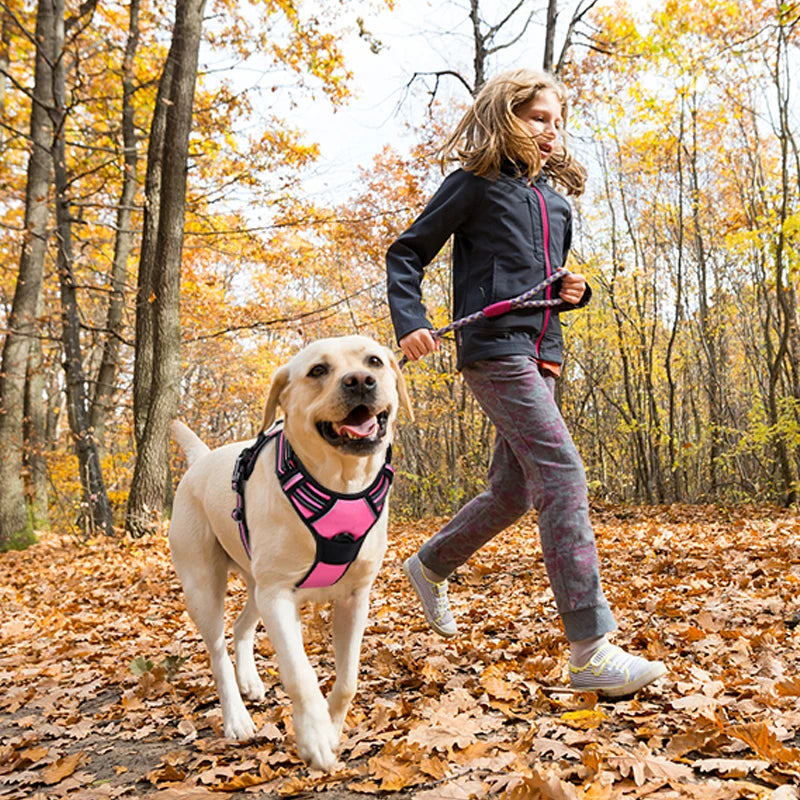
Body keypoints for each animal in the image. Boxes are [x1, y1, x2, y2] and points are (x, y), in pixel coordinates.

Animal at [166, 336, 410, 768]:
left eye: (374, 361)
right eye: (318, 370)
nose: (360, 381)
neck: (339, 485)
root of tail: (201, 459)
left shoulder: (354, 597)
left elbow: (348, 679)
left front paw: (332, 727)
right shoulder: (279, 596)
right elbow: (300, 672)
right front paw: (314, 735)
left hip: (255, 584)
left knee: (241, 627)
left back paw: (250, 680)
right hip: (203, 585)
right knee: (217, 650)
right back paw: (236, 718)